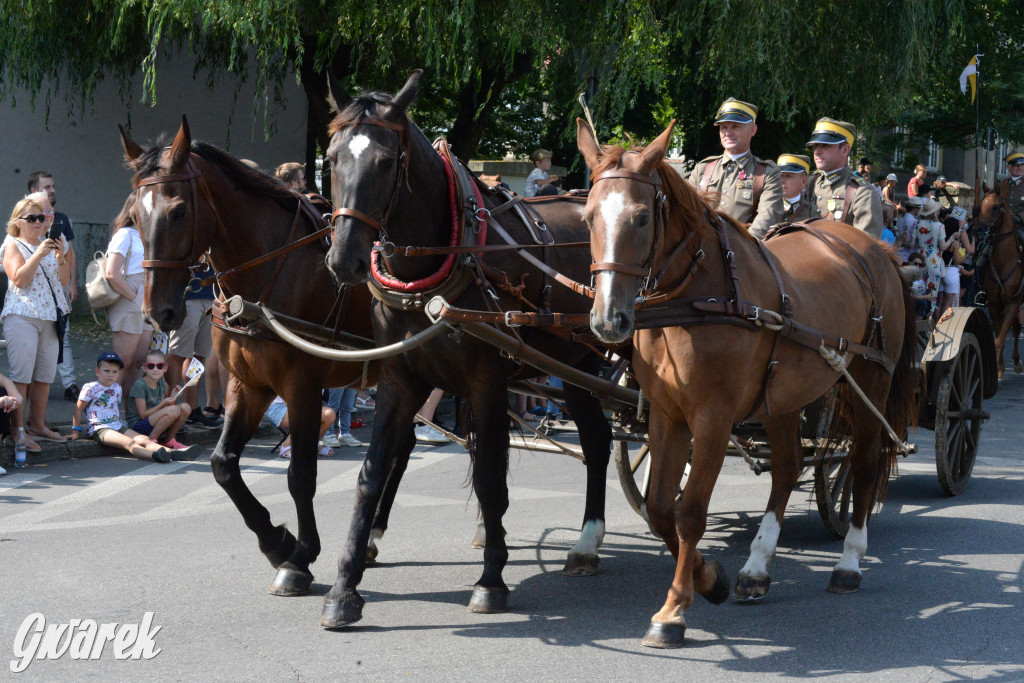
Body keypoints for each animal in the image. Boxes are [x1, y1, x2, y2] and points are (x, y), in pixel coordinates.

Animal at [117, 121, 380, 598]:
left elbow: (300, 474)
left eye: (178, 212)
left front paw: (299, 557)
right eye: (134, 217)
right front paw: (277, 541)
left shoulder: (301, 387)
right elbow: (223, 465)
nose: (158, 312)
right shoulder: (248, 384)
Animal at [315, 72, 610, 626]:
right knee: (598, 438)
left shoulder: (486, 381)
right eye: (330, 158)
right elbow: (372, 474)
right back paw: (584, 543)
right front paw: (344, 587)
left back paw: (592, 540)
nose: (344, 259)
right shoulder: (399, 379)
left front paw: (491, 580)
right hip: (571, 367)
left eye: (386, 161)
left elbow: (492, 475)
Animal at [581, 120, 917, 651]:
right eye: (589, 216)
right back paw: (756, 567)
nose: (609, 320)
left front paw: (674, 610)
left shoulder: (713, 419)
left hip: (871, 379)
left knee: (863, 462)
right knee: (787, 467)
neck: (697, 298)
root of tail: (875, 249)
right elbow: (660, 509)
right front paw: (711, 578)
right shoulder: (665, 415)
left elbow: (690, 513)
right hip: (783, 396)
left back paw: (848, 561)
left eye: (641, 218)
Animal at [970, 187, 1019, 378]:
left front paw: (998, 370)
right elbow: (998, 334)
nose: (976, 229)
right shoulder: (993, 304)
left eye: (996, 207)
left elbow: (1001, 338)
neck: (1004, 262)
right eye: (979, 206)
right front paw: (999, 367)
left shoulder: (1013, 303)